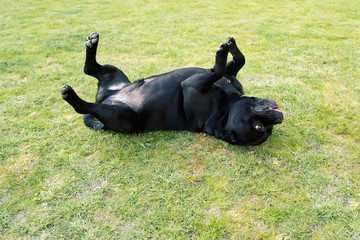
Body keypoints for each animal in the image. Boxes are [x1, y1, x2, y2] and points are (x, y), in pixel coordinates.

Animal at [61, 32, 284, 145]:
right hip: (113, 73)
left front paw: (222, 53)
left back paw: (71, 95)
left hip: (125, 115)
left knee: (84, 105)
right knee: (90, 68)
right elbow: (237, 61)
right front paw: (230, 46)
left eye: (261, 128)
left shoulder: (193, 85)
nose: (279, 117)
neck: (225, 110)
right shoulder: (230, 74)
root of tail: (105, 98)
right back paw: (92, 43)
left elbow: (218, 69)